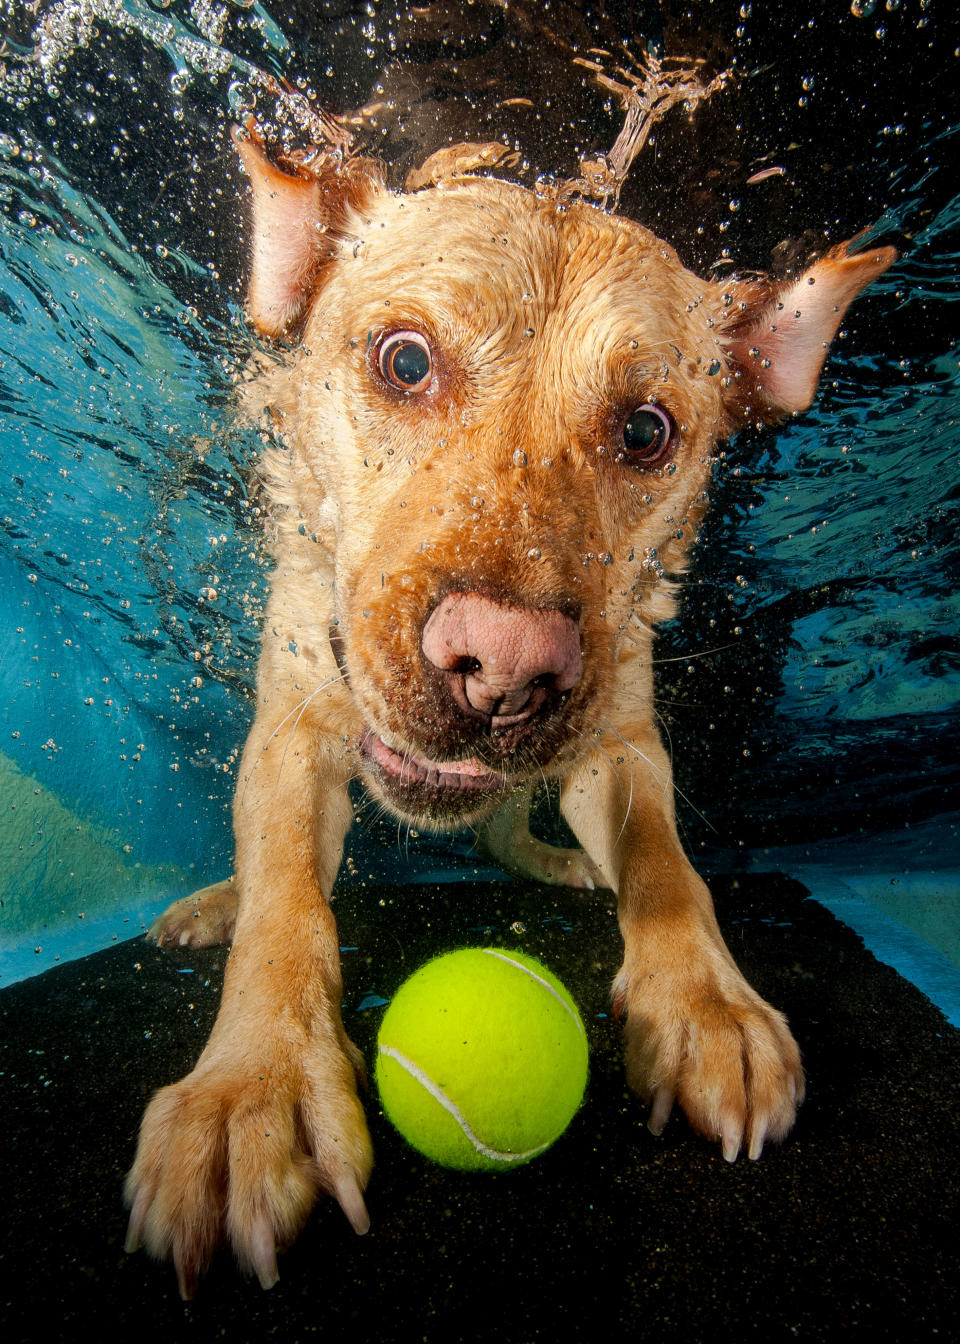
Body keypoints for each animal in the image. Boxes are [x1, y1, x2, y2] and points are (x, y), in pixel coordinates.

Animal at [123, 89, 892, 1295]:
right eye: (404, 362)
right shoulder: (295, 727)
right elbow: (290, 905)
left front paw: (705, 1000)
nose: (504, 667)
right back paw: (215, 907)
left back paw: (557, 863)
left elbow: (672, 868)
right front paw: (258, 1082)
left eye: (646, 432)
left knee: (502, 831)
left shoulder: (623, 745)